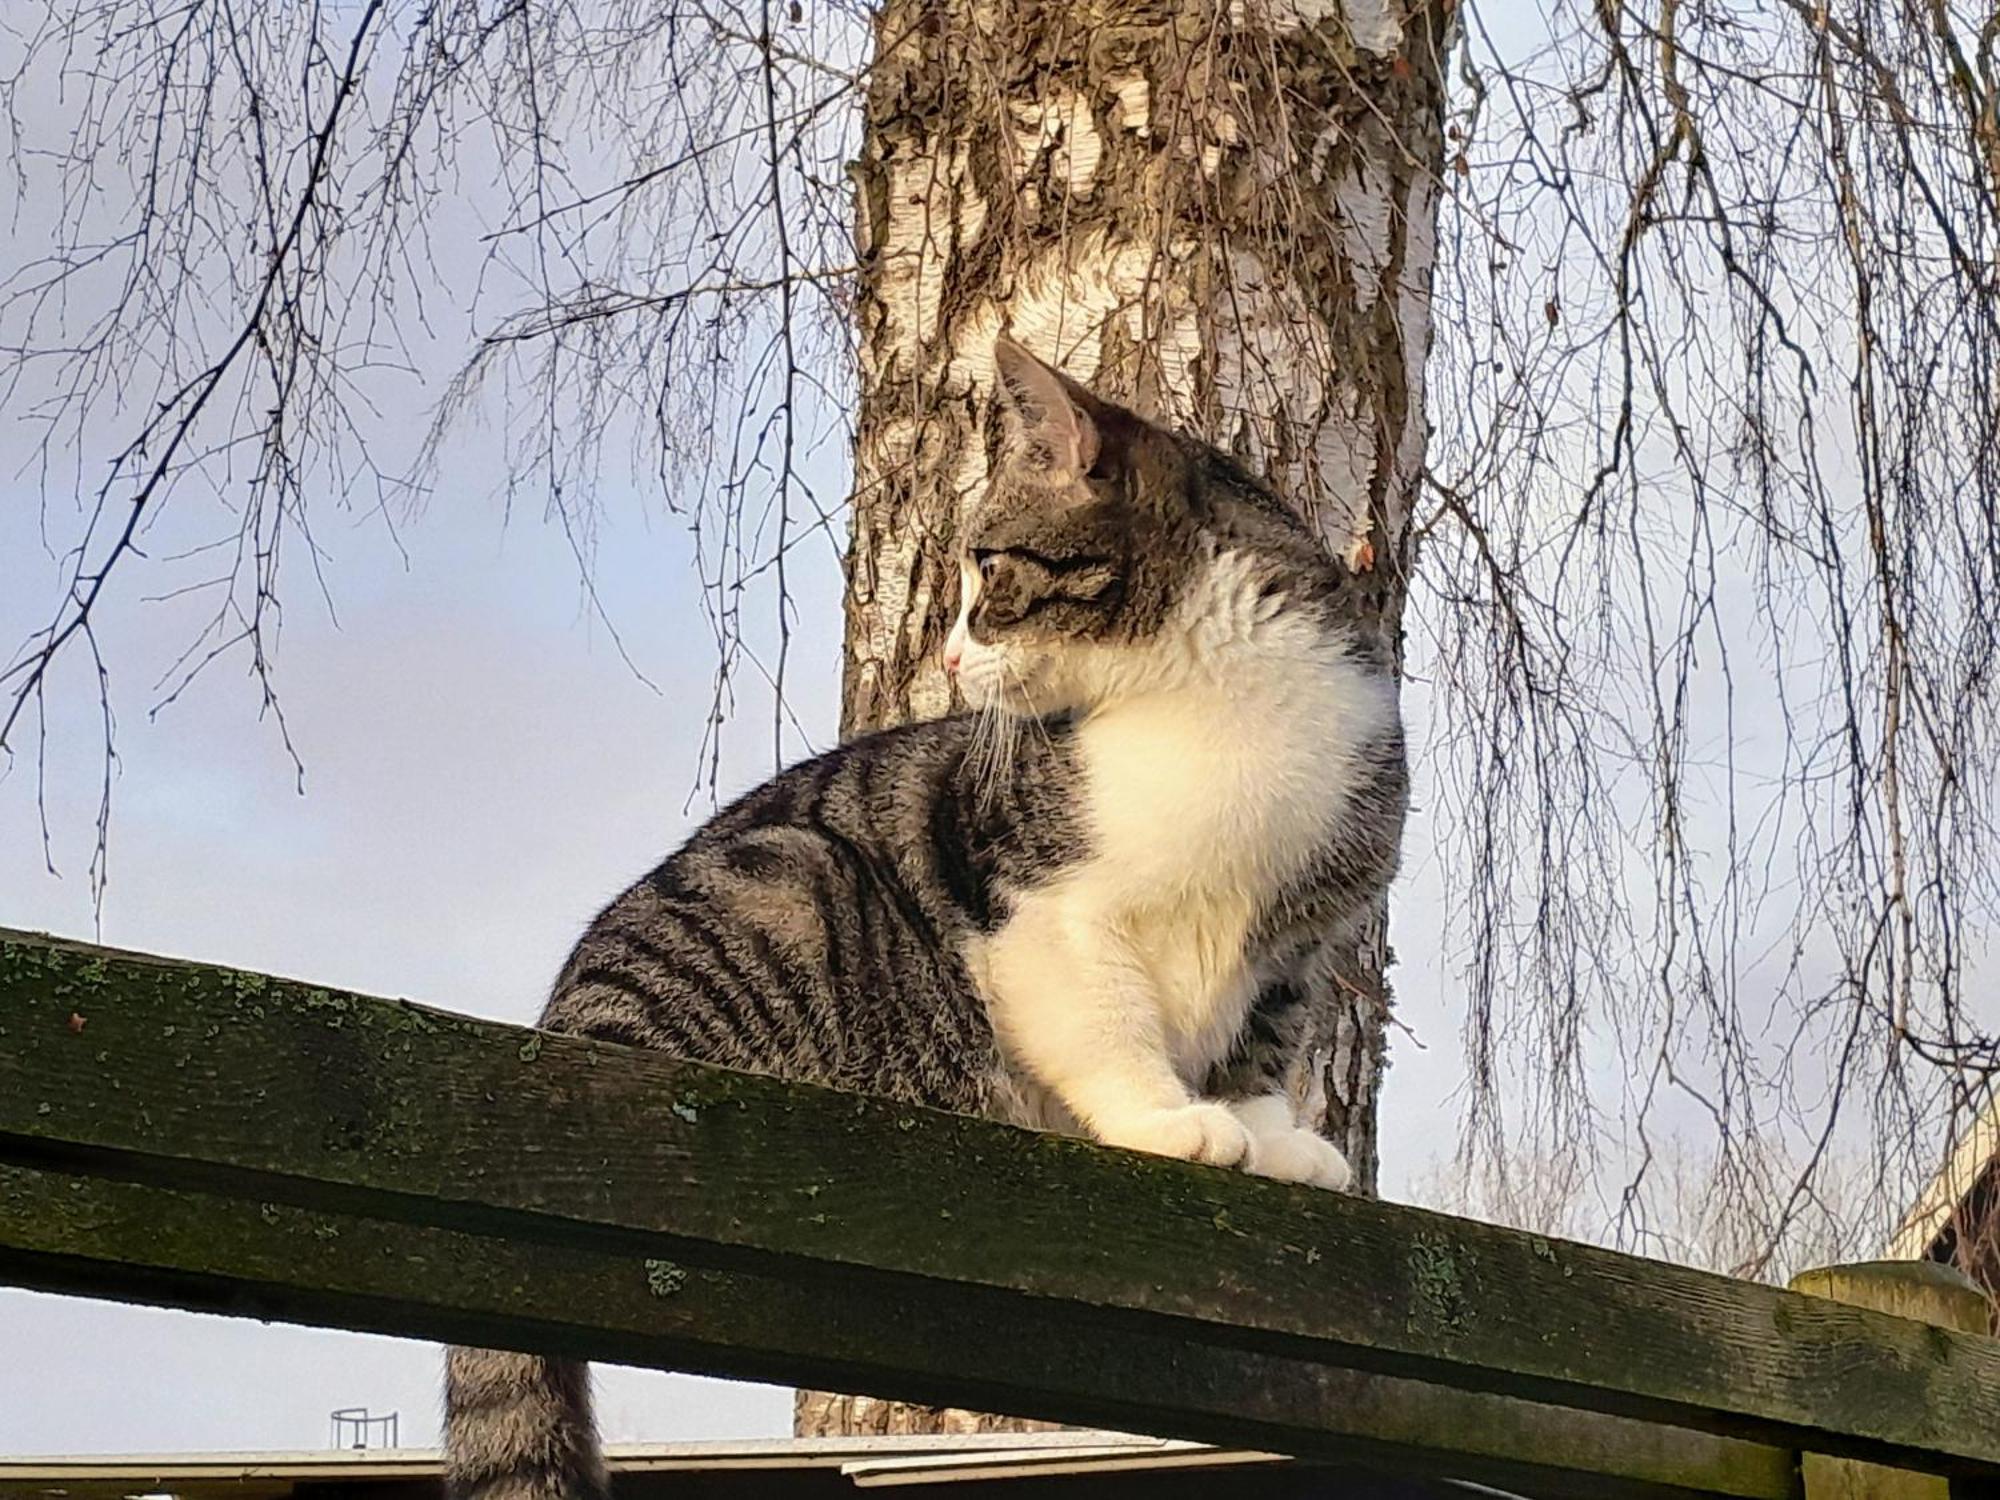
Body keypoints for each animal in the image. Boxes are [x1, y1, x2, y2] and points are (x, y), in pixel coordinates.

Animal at [442, 340, 1408, 1500]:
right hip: (793, 875)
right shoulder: (1036, 901)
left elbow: (1260, 1041)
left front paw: (1273, 1139)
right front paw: (1166, 1119)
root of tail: (557, 1031)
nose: (947, 660)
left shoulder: (1300, 934)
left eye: (988, 567)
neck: (1211, 696)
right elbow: (1107, 1018)